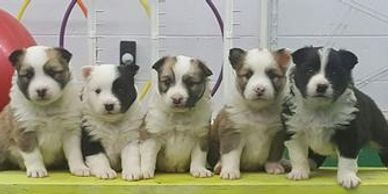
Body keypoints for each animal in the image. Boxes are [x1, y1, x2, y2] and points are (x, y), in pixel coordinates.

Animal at [0, 45, 88, 177]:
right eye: (28, 75)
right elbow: (33, 154)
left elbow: (75, 153)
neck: (47, 107)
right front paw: (36, 170)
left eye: (52, 72)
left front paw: (79, 168)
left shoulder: (70, 130)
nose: (41, 90)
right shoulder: (25, 131)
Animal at [209, 47, 292, 180]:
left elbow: (275, 153)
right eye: (248, 75)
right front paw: (229, 171)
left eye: (272, 75)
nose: (260, 89)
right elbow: (231, 155)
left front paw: (274, 167)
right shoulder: (233, 132)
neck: (258, 110)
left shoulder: (278, 133)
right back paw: (219, 166)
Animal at [282, 46, 388, 189]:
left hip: (380, 132)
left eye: (334, 73)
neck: (319, 108)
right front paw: (299, 172)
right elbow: (297, 155)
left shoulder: (349, 132)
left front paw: (348, 178)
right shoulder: (294, 130)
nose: (321, 86)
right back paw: (310, 164)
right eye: (309, 70)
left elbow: (347, 159)